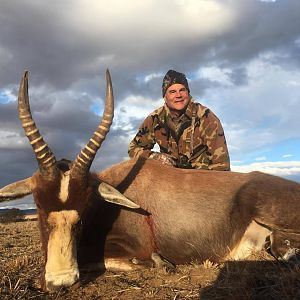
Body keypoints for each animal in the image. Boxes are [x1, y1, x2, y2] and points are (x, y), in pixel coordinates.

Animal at [0, 70, 300, 290]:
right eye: (39, 208)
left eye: (82, 213)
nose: (61, 282)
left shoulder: (132, 247)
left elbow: (104, 258)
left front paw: (161, 263)